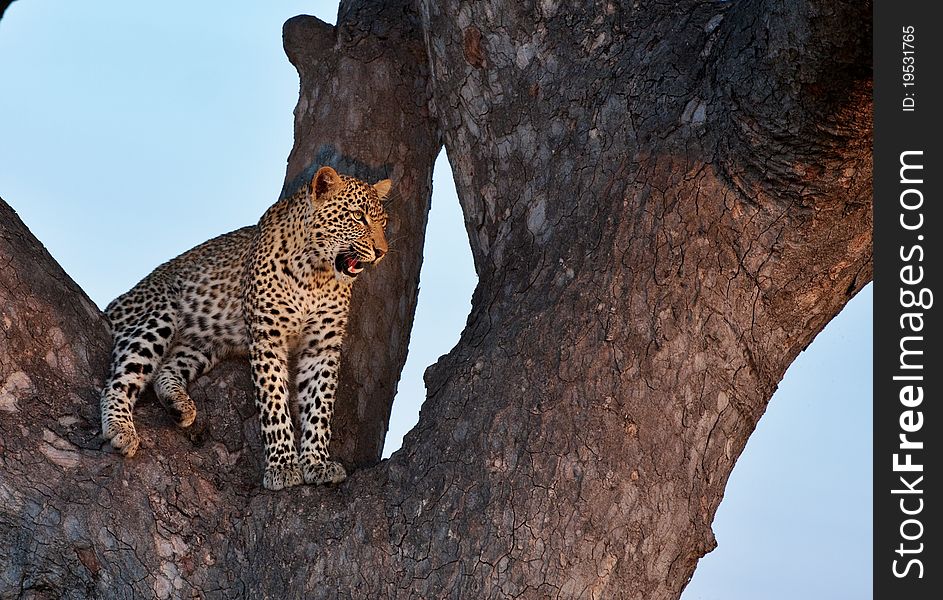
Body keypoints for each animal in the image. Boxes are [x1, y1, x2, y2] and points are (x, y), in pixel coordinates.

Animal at [97, 166, 390, 490]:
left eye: (383, 222)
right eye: (358, 216)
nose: (381, 251)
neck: (316, 275)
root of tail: (116, 304)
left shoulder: (321, 346)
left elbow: (319, 405)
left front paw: (317, 462)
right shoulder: (267, 338)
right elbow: (274, 402)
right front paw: (283, 466)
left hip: (202, 344)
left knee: (164, 370)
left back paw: (180, 406)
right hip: (159, 314)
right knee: (119, 379)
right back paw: (121, 429)